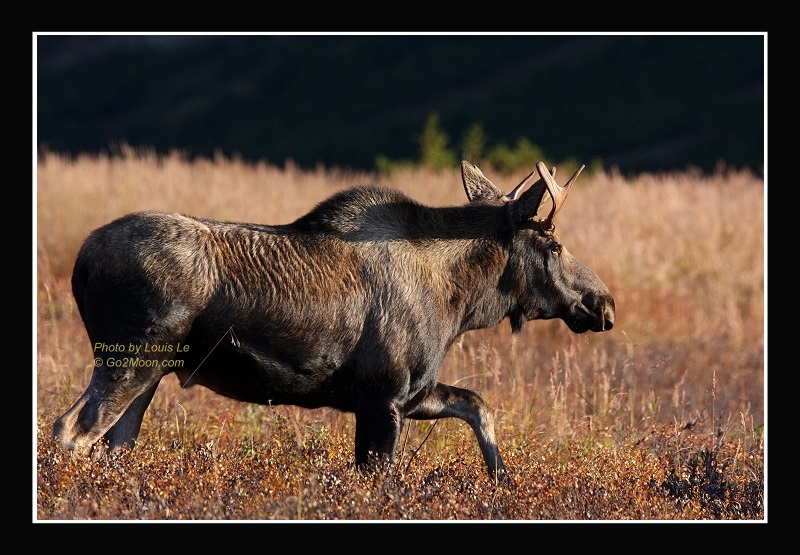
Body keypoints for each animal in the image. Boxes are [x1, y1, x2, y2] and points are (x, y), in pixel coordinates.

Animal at [53, 160, 615, 485]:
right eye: (554, 244)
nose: (603, 303)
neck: (459, 305)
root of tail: (81, 263)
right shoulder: (383, 395)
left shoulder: (411, 391)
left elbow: (478, 404)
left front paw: (502, 482)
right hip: (132, 359)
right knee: (70, 429)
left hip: (149, 374)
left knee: (113, 445)